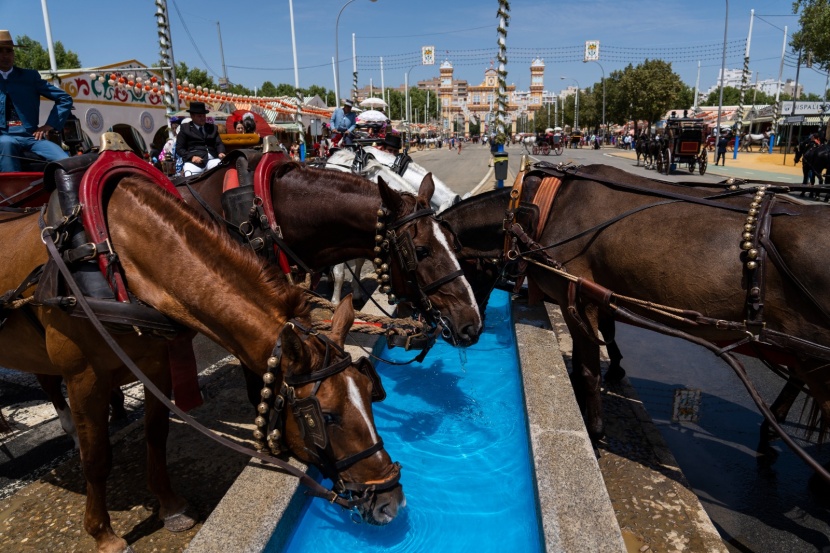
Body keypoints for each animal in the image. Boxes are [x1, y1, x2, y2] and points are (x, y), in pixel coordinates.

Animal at [0, 174, 404, 552]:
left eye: (370, 394)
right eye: (327, 416)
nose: (391, 501)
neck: (118, 258)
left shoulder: (157, 363)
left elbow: (156, 434)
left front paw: (170, 505)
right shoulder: (84, 377)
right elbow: (97, 457)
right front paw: (104, 534)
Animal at [446, 162, 830, 446]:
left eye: (461, 266)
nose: (467, 330)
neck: (539, 210)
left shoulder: (577, 297)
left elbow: (588, 368)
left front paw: (596, 429)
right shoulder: (595, 294)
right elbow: (601, 338)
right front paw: (608, 373)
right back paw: (773, 424)